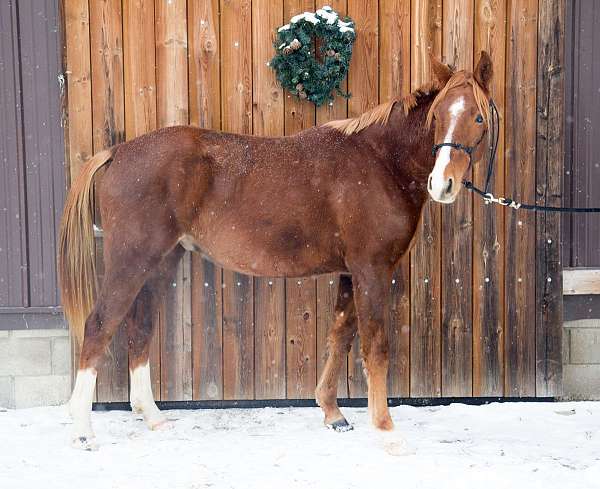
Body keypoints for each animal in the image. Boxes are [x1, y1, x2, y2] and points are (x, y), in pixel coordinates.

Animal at [58, 52, 494, 446]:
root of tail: (118, 152)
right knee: (99, 326)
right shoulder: (371, 269)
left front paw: (333, 414)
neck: (380, 161)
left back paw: (151, 417)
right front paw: (387, 432)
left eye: (478, 118)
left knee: (140, 327)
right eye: (437, 117)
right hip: (132, 261)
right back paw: (82, 430)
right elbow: (375, 346)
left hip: (161, 263)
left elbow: (341, 335)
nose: (443, 184)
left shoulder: (350, 271)